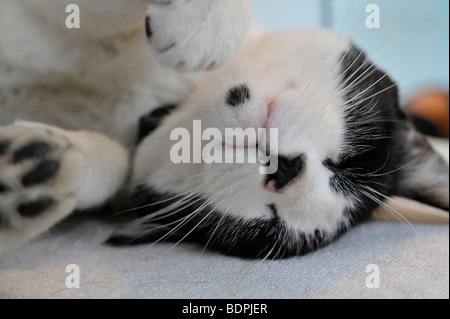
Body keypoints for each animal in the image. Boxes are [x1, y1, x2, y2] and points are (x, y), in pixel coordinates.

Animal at [0, 0, 448, 260]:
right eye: (350, 161)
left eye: (268, 225)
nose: (286, 169)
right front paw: (202, 25)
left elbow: (114, 165)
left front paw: (39, 177)